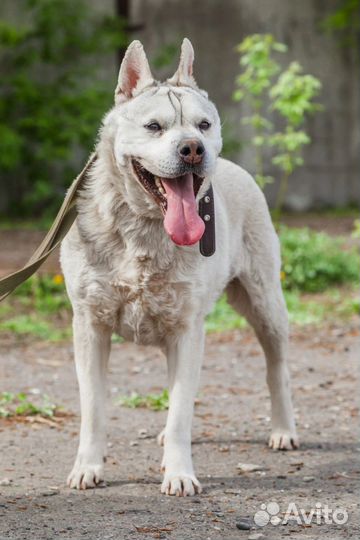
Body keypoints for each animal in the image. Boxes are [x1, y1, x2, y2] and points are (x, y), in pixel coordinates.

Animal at [60, 39, 298, 498]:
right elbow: (94, 406)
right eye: (154, 126)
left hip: (265, 302)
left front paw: (179, 472)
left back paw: (283, 429)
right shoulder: (89, 325)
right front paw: (88, 467)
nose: (193, 148)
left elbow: (181, 411)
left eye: (204, 125)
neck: (144, 225)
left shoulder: (188, 330)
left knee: (276, 367)